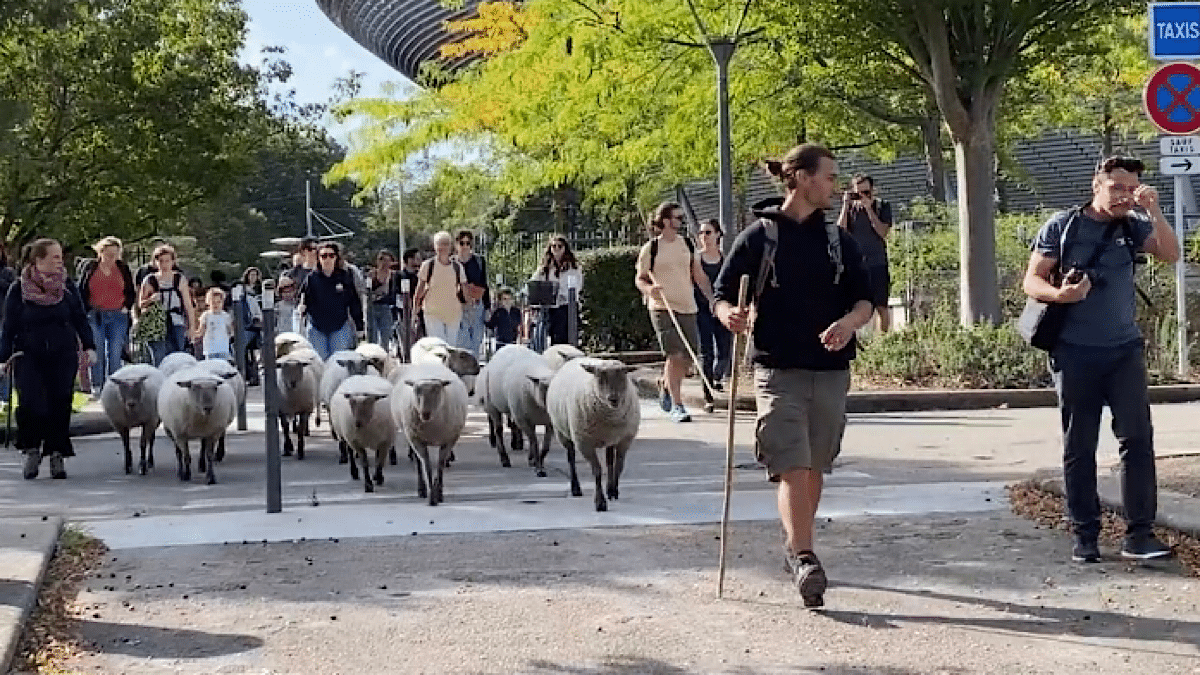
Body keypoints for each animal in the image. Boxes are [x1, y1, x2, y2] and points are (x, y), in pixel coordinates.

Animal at [393, 360, 468, 502]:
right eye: (416, 391)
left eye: (437, 390)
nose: (425, 413)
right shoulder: (416, 439)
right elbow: (426, 465)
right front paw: (432, 495)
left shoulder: (449, 439)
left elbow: (440, 464)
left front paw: (439, 493)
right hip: (411, 437)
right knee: (418, 462)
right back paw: (421, 489)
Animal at [544, 357, 638, 509]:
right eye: (600, 378)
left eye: (623, 375)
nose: (613, 399)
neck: (611, 416)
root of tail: (574, 358)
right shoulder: (584, 442)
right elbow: (597, 471)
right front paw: (600, 502)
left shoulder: (624, 439)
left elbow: (618, 467)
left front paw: (614, 491)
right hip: (562, 433)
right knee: (571, 458)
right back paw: (575, 488)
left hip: (610, 439)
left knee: (609, 461)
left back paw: (609, 489)